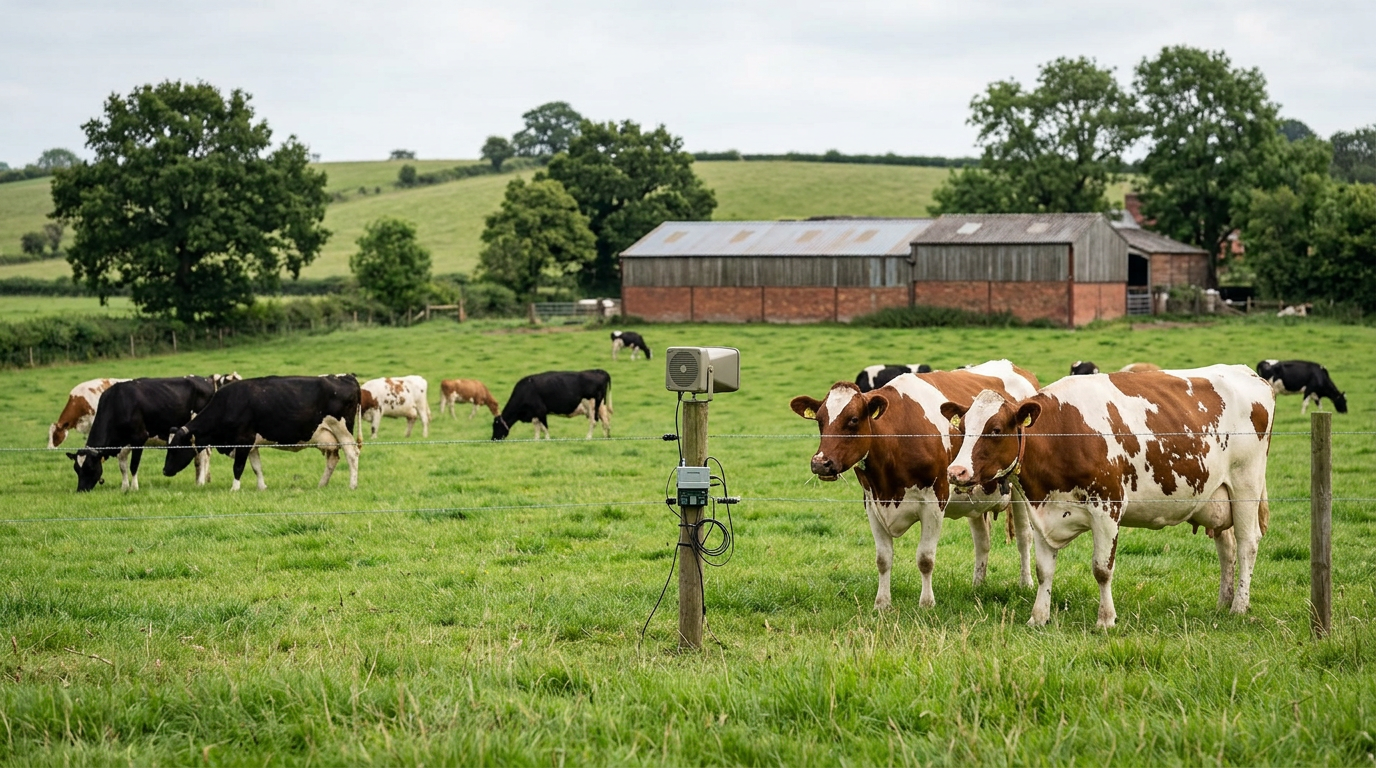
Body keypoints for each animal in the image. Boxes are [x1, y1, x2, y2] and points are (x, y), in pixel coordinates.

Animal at [66, 377, 220, 492]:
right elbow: (122, 466)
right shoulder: (123, 444)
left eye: (90, 468)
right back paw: (199, 480)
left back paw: (200, 482)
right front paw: (124, 487)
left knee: (202, 456)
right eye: (76, 469)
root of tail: (205, 380)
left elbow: (133, 465)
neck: (119, 403)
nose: (81, 490)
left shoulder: (139, 438)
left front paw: (134, 488)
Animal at [164, 375, 362, 491]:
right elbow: (256, 467)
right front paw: (262, 487)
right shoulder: (252, 445)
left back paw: (352, 485)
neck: (229, 403)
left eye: (175, 449)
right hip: (329, 437)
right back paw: (322, 484)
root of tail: (346, 378)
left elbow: (238, 467)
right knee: (333, 458)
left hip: (342, 430)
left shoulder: (243, 441)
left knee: (352, 454)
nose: (165, 470)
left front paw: (234, 488)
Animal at [790, 360, 1040, 610]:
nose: (820, 463)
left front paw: (926, 603)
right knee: (982, 541)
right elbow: (883, 558)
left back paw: (1025, 583)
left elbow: (925, 558)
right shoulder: (872, 503)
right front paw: (882, 604)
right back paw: (978, 585)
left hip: (1019, 492)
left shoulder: (934, 503)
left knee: (1024, 537)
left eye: (853, 419)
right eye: (820, 421)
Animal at [943, 365, 1274, 628]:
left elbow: (1102, 569)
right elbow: (1043, 571)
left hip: (1245, 485)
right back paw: (1223, 601)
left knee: (1247, 544)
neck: (1063, 433)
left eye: (996, 429)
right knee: (1227, 547)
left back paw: (1238, 606)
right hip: (1217, 496)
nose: (956, 471)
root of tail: (1248, 373)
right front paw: (1038, 617)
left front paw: (1105, 620)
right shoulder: (1041, 512)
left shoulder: (1107, 508)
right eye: (962, 429)